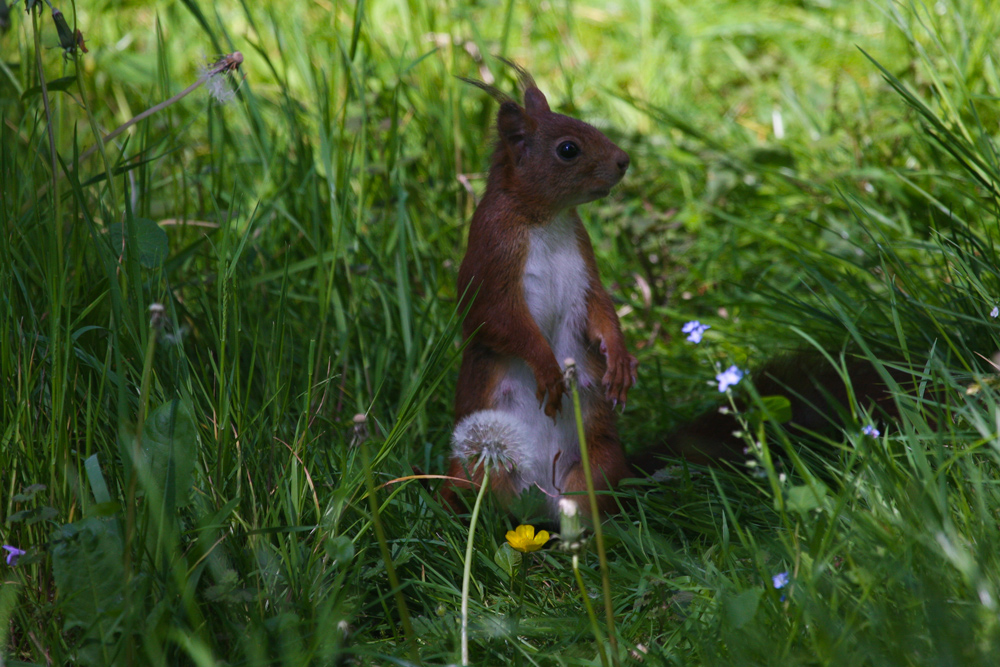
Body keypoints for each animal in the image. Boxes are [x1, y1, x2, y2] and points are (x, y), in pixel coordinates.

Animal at [446, 64, 640, 520]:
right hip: (470, 468)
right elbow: (499, 321)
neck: (544, 218)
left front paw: (619, 360)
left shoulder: (585, 268)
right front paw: (547, 367)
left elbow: (601, 309)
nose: (623, 161)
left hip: (597, 463)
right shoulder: (492, 259)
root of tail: (537, 500)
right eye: (568, 149)